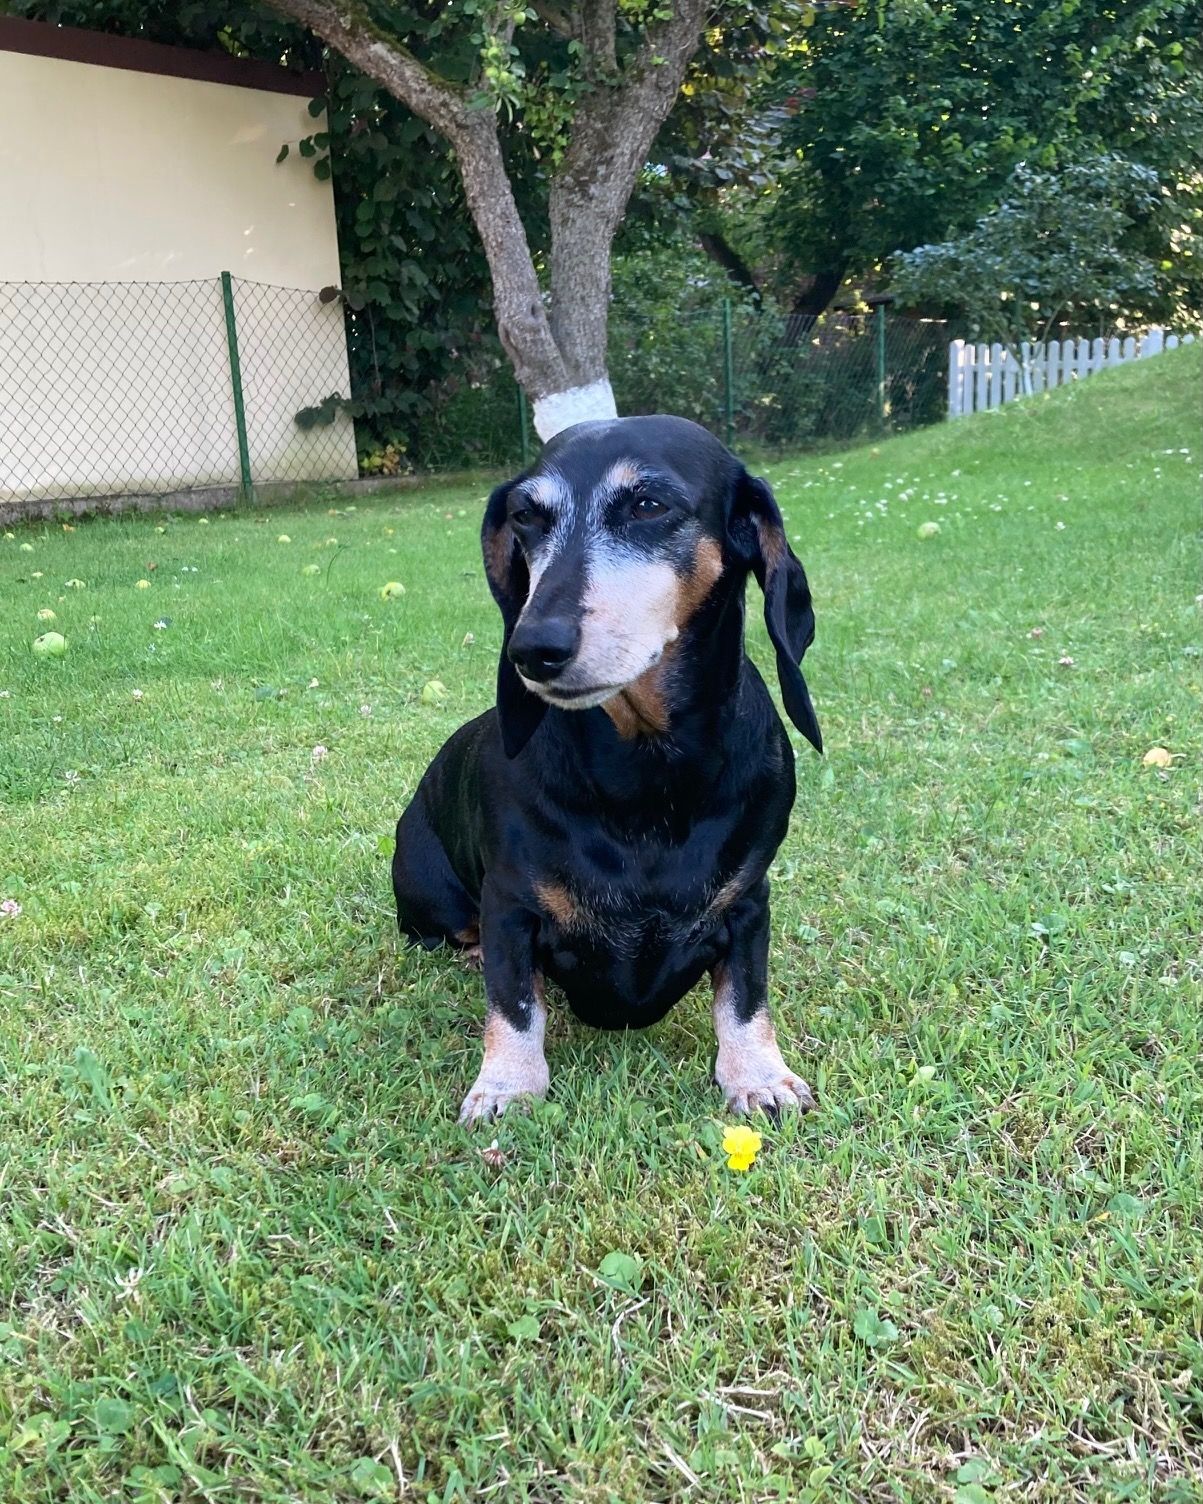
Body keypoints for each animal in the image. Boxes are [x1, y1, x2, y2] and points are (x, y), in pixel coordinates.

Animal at [392, 415, 823, 1124]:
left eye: (648, 505)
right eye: (525, 515)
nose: (533, 649)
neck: (646, 774)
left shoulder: (748, 903)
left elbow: (744, 998)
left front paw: (759, 1075)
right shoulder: (510, 906)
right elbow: (515, 1004)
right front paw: (506, 1085)